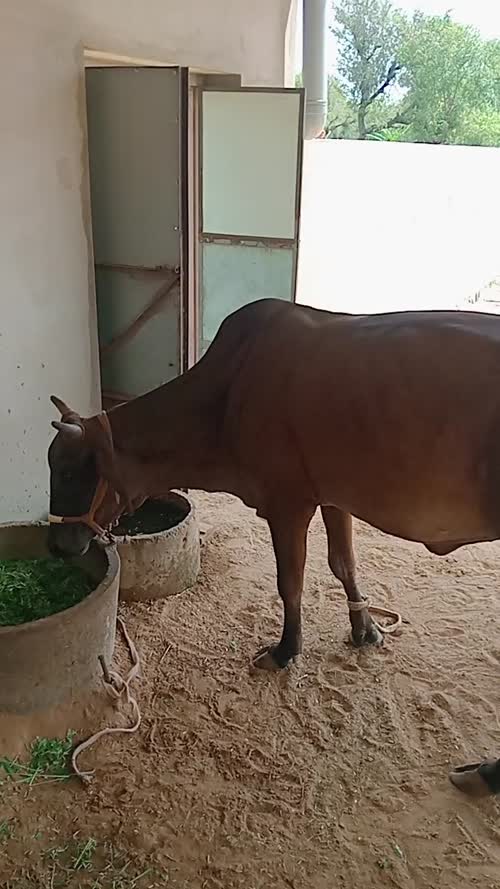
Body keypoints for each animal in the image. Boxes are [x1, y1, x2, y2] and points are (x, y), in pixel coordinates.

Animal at [48, 298, 500, 676]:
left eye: (68, 473)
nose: (57, 544)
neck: (226, 395)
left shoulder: (287, 504)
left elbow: (290, 582)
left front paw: (286, 651)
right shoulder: (334, 496)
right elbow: (344, 564)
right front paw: (366, 630)